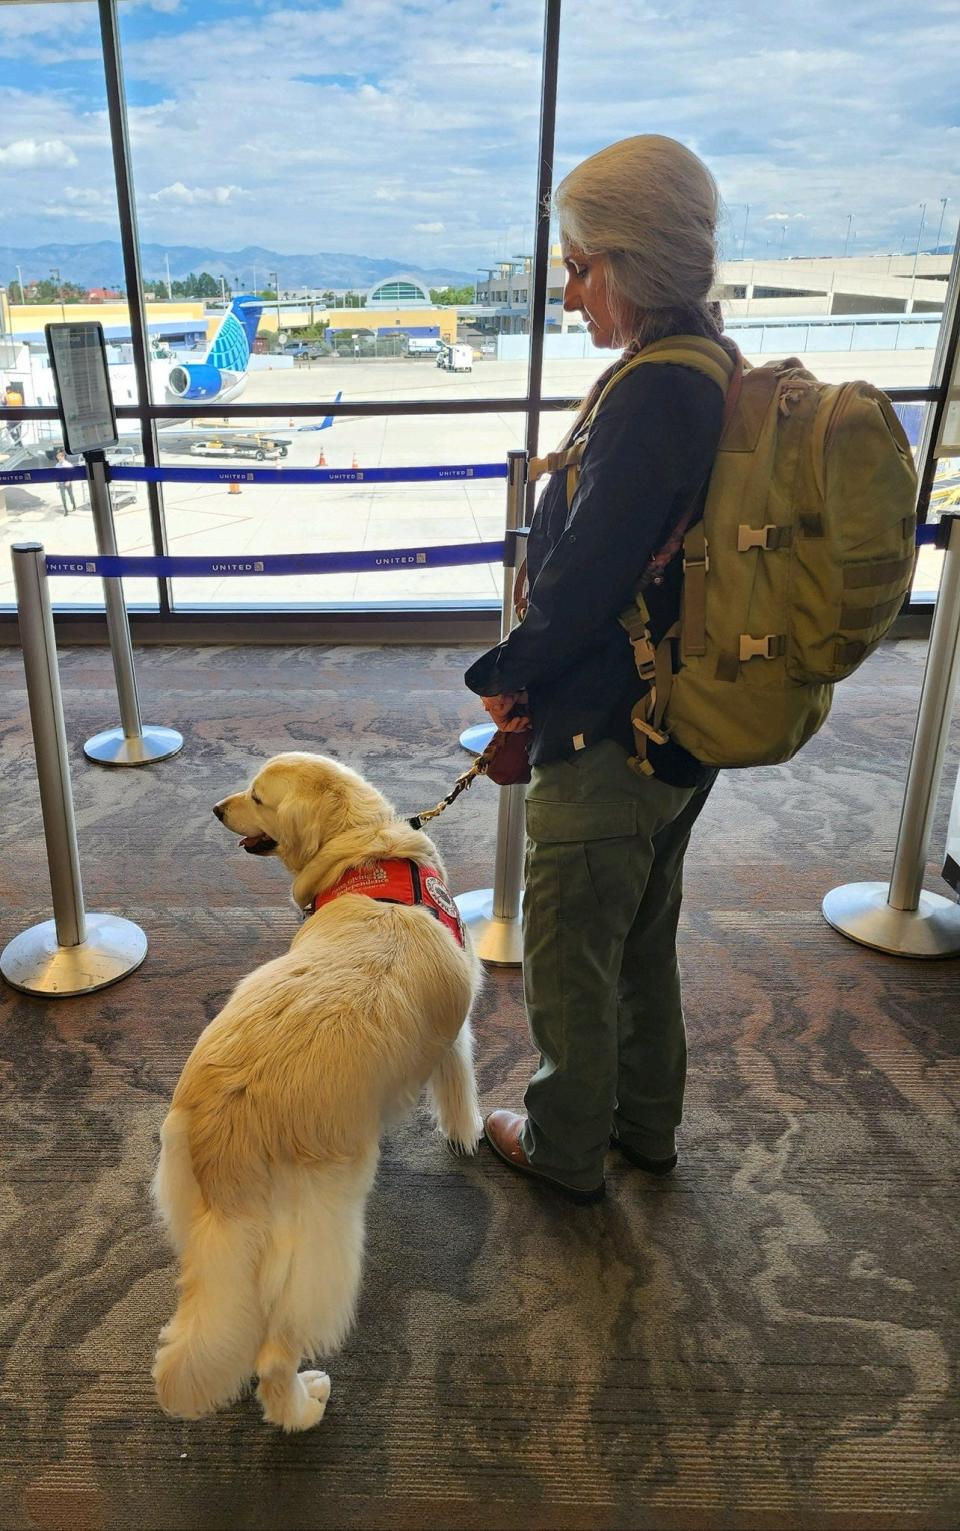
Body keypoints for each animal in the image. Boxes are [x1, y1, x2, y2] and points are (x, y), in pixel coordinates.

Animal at [153, 753, 483, 1433]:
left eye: (256, 797)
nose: (217, 809)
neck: (364, 861)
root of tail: (233, 1112)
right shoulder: (458, 1028)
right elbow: (461, 1086)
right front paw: (470, 1136)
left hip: (204, 1229)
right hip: (322, 1243)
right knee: (274, 1355)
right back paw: (303, 1407)